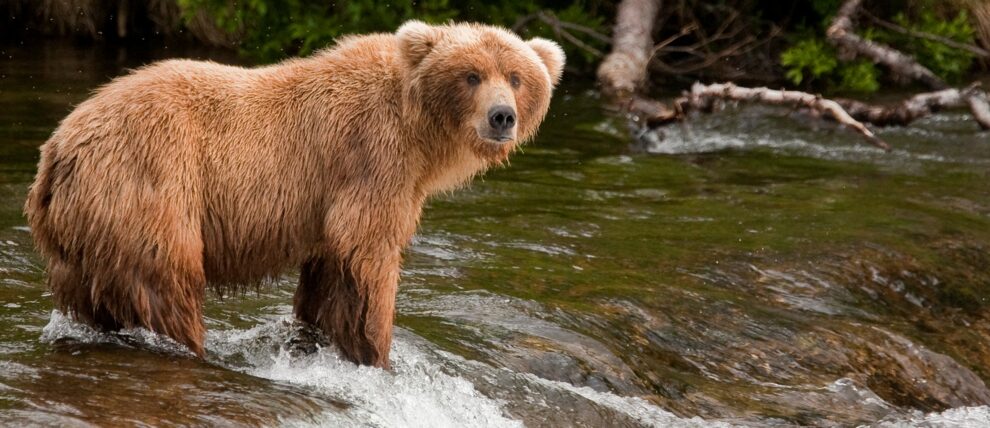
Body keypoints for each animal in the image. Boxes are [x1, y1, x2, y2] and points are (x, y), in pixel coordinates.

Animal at [24, 21, 564, 368]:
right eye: (471, 75)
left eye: (516, 77)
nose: (502, 116)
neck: (419, 135)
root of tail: (59, 149)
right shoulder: (371, 160)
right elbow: (369, 255)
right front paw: (377, 353)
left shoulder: (337, 198)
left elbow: (331, 276)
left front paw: (325, 341)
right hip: (148, 182)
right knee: (166, 281)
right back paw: (190, 346)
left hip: (80, 236)